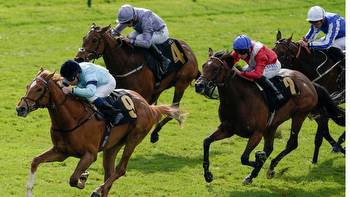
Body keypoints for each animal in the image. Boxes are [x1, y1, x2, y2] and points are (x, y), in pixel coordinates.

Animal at [15, 69, 186, 197]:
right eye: (27, 86)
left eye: (39, 89)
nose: (20, 108)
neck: (72, 118)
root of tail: (149, 106)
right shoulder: (61, 152)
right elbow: (35, 161)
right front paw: (29, 191)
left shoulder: (90, 155)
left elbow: (73, 178)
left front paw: (83, 178)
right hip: (112, 147)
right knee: (109, 172)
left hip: (133, 139)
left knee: (120, 170)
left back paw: (97, 190)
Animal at [194, 48, 344, 185]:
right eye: (204, 65)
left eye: (216, 68)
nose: (199, 85)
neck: (239, 99)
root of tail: (310, 82)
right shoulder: (227, 129)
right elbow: (206, 141)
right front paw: (208, 175)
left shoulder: (257, 132)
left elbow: (244, 158)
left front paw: (260, 161)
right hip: (273, 124)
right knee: (270, 147)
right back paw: (255, 173)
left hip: (299, 115)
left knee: (292, 143)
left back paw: (270, 168)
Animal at [274, 30, 344, 163]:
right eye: (272, 50)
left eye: (283, 54)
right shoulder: (316, 108)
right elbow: (325, 133)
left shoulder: (323, 108)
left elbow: (321, 134)